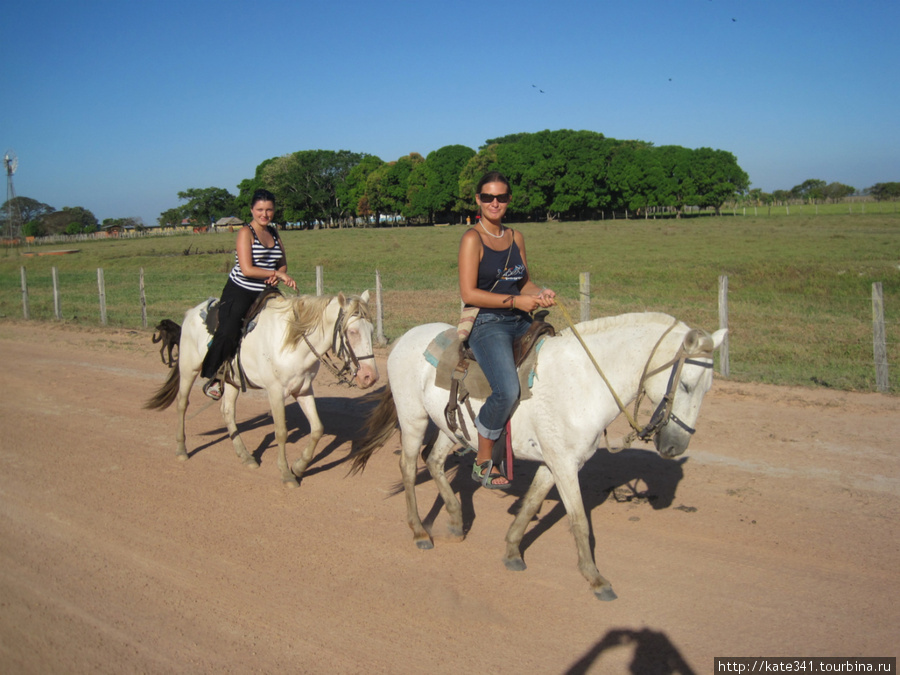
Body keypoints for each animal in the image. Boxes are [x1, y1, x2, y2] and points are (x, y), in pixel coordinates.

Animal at [146, 290, 378, 486]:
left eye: (372, 331)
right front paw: (286, 474)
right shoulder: (275, 392)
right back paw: (181, 449)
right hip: (188, 369)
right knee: (182, 404)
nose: (370, 376)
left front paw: (299, 467)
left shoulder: (303, 389)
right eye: (352, 331)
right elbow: (281, 432)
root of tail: (191, 312)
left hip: (231, 380)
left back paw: (245, 456)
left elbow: (317, 429)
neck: (292, 342)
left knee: (227, 411)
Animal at [350, 312, 724, 604]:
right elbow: (579, 520)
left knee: (434, 462)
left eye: (707, 389)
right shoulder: (564, 466)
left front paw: (512, 550)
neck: (584, 381)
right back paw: (419, 532)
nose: (675, 446)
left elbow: (530, 505)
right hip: (413, 419)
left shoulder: (555, 463)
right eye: (686, 385)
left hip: (450, 427)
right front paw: (595, 579)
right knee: (409, 468)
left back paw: (455, 520)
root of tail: (406, 338)